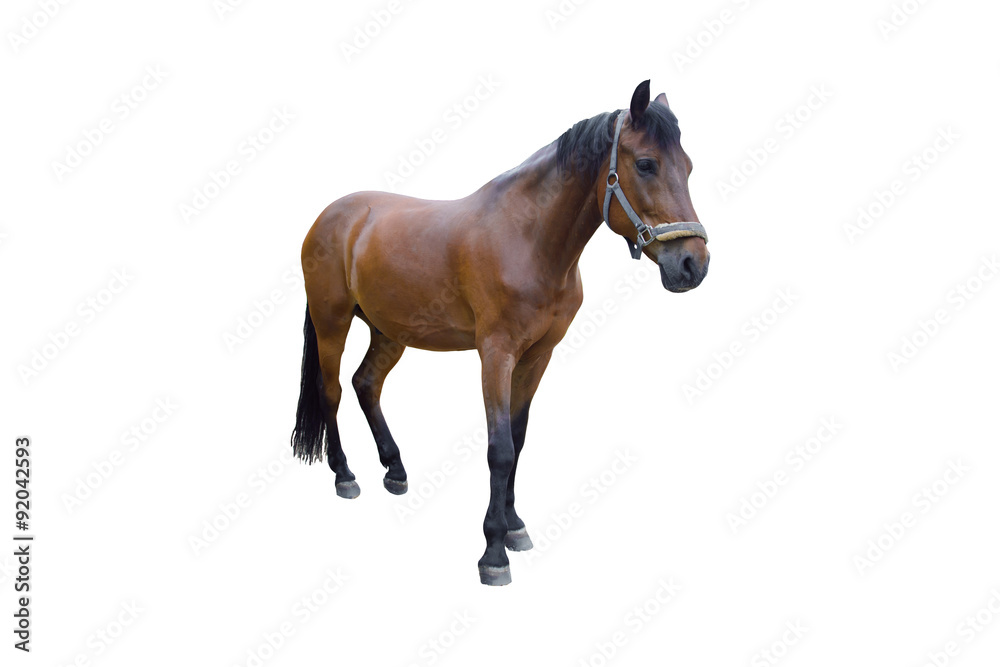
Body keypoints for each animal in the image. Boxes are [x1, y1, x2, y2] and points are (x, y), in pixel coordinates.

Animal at [291, 80, 709, 585]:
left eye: (688, 166)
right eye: (646, 164)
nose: (692, 264)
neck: (529, 240)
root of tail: (331, 215)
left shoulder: (537, 357)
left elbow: (520, 437)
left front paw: (514, 526)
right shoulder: (496, 354)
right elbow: (500, 449)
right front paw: (493, 552)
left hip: (389, 331)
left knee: (365, 384)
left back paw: (395, 469)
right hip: (332, 322)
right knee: (330, 391)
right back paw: (344, 475)